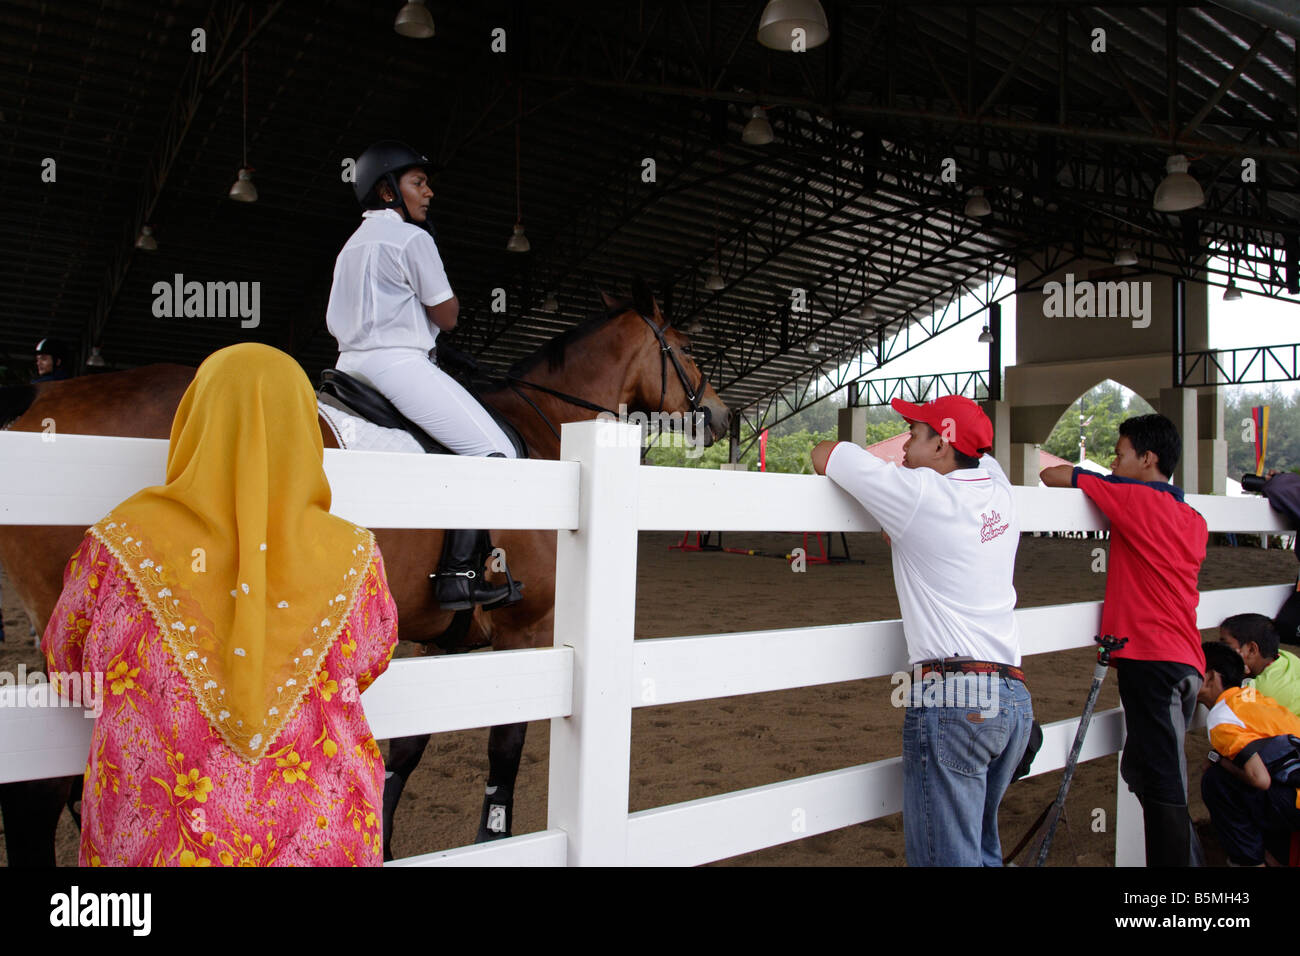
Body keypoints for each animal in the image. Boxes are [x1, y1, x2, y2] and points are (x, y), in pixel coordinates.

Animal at [0, 291, 733, 868]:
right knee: (38, 791)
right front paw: (492, 841)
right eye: (687, 347)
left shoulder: (441, 638)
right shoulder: (525, 629)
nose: (724, 417)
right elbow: (504, 747)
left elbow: (407, 749)